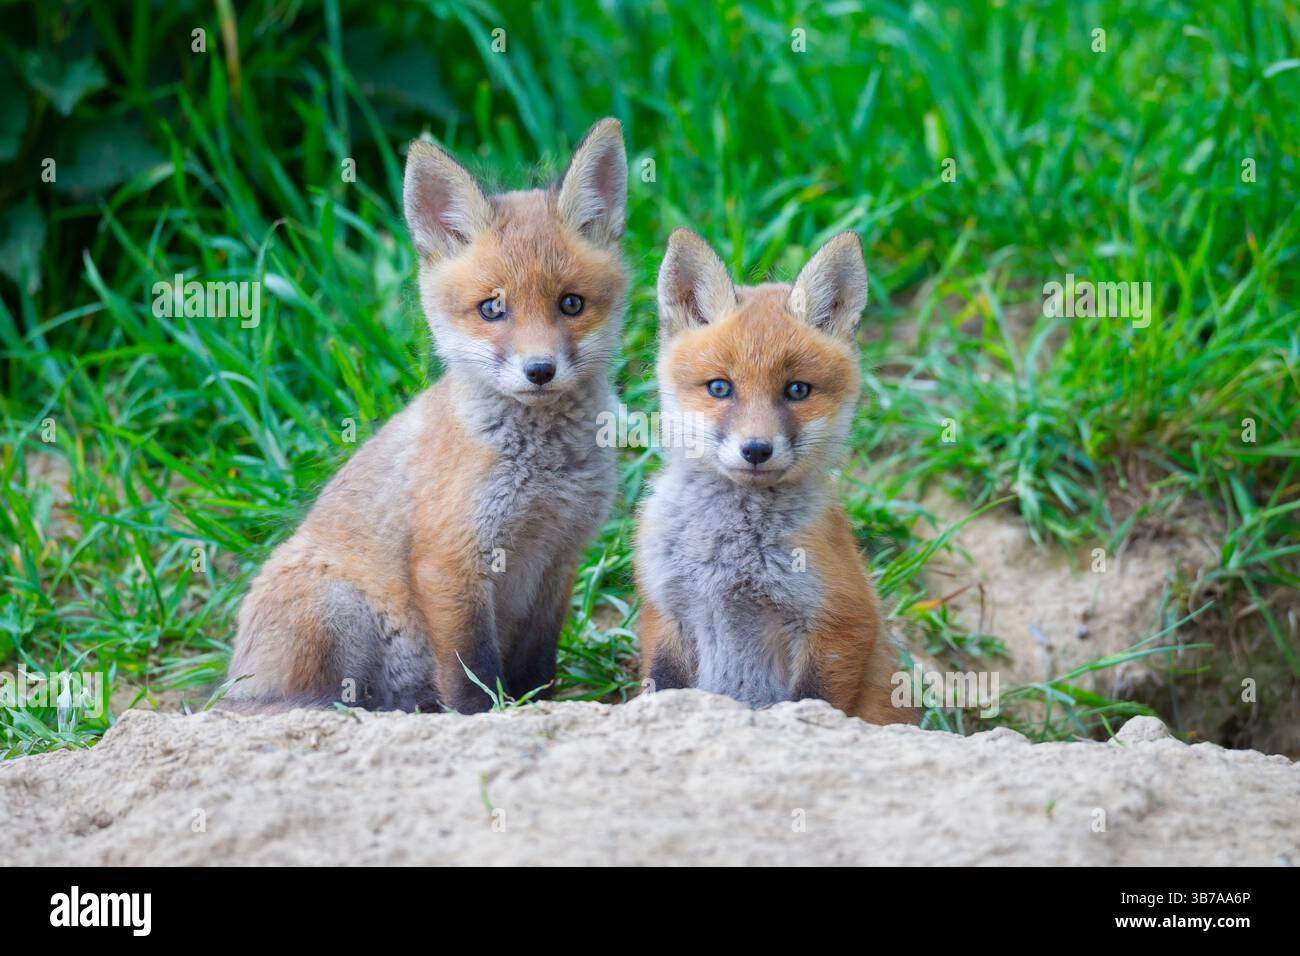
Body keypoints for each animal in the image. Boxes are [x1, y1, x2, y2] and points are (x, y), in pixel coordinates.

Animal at [223, 118, 628, 714]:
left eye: (571, 304)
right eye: (492, 308)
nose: (539, 370)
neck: (544, 474)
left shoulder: (558, 561)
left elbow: (538, 670)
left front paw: (540, 707)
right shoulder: (450, 563)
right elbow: (471, 678)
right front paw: (486, 717)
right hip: (338, 611)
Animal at [634, 228, 908, 723]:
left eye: (797, 390)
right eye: (720, 387)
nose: (757, 450)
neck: (732, 552)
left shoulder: (840, 620)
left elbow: (814, 703)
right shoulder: (666, 609)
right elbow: (662, 688)